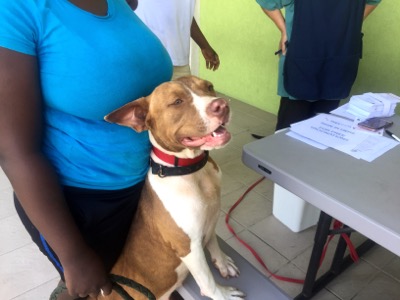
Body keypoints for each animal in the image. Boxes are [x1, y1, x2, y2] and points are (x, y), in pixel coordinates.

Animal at [101, 76, 245, 298]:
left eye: (209, 86)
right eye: (177, 102)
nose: (221, 105)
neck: (192, 171)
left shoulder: (212, 219)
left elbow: (213, 242)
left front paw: (222, 263)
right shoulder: (189, 247)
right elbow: (208, 282)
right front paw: (223, 295)